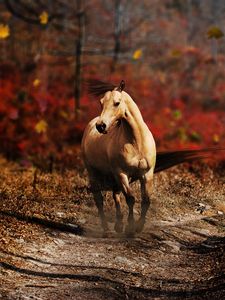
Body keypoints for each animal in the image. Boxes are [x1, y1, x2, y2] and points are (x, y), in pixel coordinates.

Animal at [81, 79, 157, 234]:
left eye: (116, 103)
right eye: (101, 103)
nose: (101, 126)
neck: (137, 142)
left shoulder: (147, 174)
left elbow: (146, 200)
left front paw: (138, 227)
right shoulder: (122, 173)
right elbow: (130, 198)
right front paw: (130, 227)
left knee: (115, 195)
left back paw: (118, 225)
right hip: (94, 173)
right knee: (99, 199)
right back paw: (106, 229)